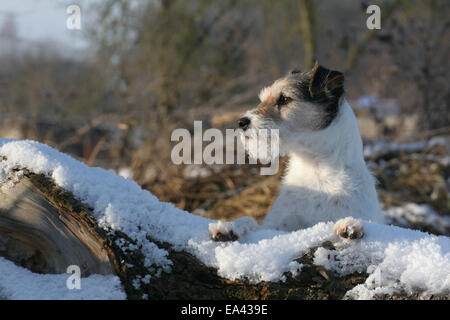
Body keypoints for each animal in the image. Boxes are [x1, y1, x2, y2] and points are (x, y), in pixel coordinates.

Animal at [210, 62, 384, 242]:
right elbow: (249, 220)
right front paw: (231, 226)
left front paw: (351, 225)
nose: (241, 122)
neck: (315, 166)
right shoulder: (275, 227)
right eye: (262, 99)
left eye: (285, 99)